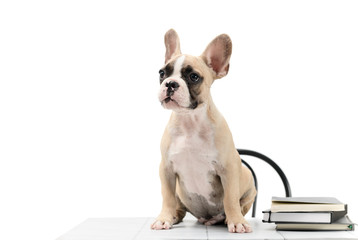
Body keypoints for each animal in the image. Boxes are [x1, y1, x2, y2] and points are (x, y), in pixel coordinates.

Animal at [152, 29, 256, 233]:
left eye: (193, 77)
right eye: (162, 73)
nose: (170, 83)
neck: (189, 122)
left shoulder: (229, 168)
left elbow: (230, 198)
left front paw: (237, 222)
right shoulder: (166, 169)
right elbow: (167, 197)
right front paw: (164, 218)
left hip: (248, 182)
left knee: (238, 205)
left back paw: (226, 218)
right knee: (179, 207)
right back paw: (175, 216)